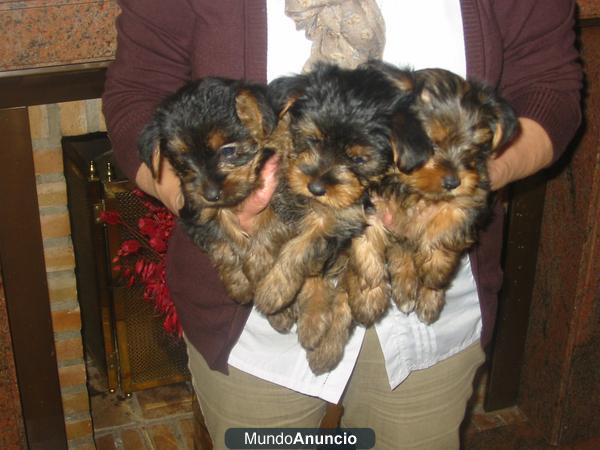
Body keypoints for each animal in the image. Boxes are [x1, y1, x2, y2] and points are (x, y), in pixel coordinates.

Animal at [138, 77, 284, 304]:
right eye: (182, 161)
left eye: (228, 151)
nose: (211, 195)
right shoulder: (194, 212)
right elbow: (219, 240)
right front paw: (239, 284)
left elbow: (270, 220)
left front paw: (259, 265)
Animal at [255, 62, 428, 372]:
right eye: (312, 139)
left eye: (358, 160)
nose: (315, 187)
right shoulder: (282, 191)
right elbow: (268, 231)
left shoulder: (343, 215)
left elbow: (303, 247)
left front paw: (274, 290)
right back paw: (313, 327)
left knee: (344, 294)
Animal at [378, 65, 516, 324]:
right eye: (430, 143)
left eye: (474, 147)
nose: (453, 182)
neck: (418, 192)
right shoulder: (385, 205)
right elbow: (400, 246)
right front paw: (406, 285)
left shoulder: (471, 197)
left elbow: (445, 228)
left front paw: (433, 272)